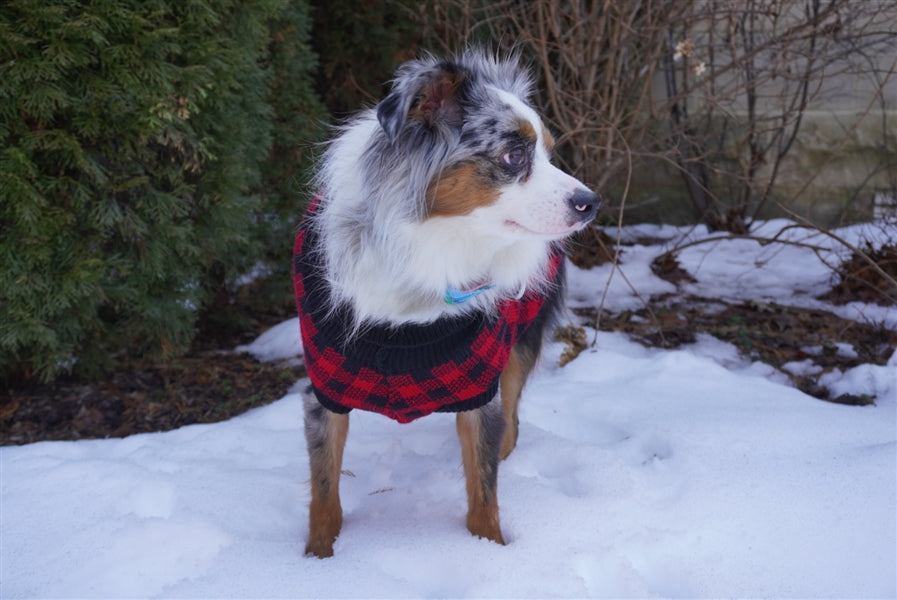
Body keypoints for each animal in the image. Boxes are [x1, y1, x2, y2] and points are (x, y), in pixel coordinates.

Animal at [294, 48, 600, 556]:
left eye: (549, 151)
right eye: (515, 155)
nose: (590, 203)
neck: (430, 250)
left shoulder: (480, 385)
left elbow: (484, 490)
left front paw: (490, 549)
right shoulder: (324, 389)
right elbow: (323, 494)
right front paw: (316, 560)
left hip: (520, 345)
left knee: (511, 422)